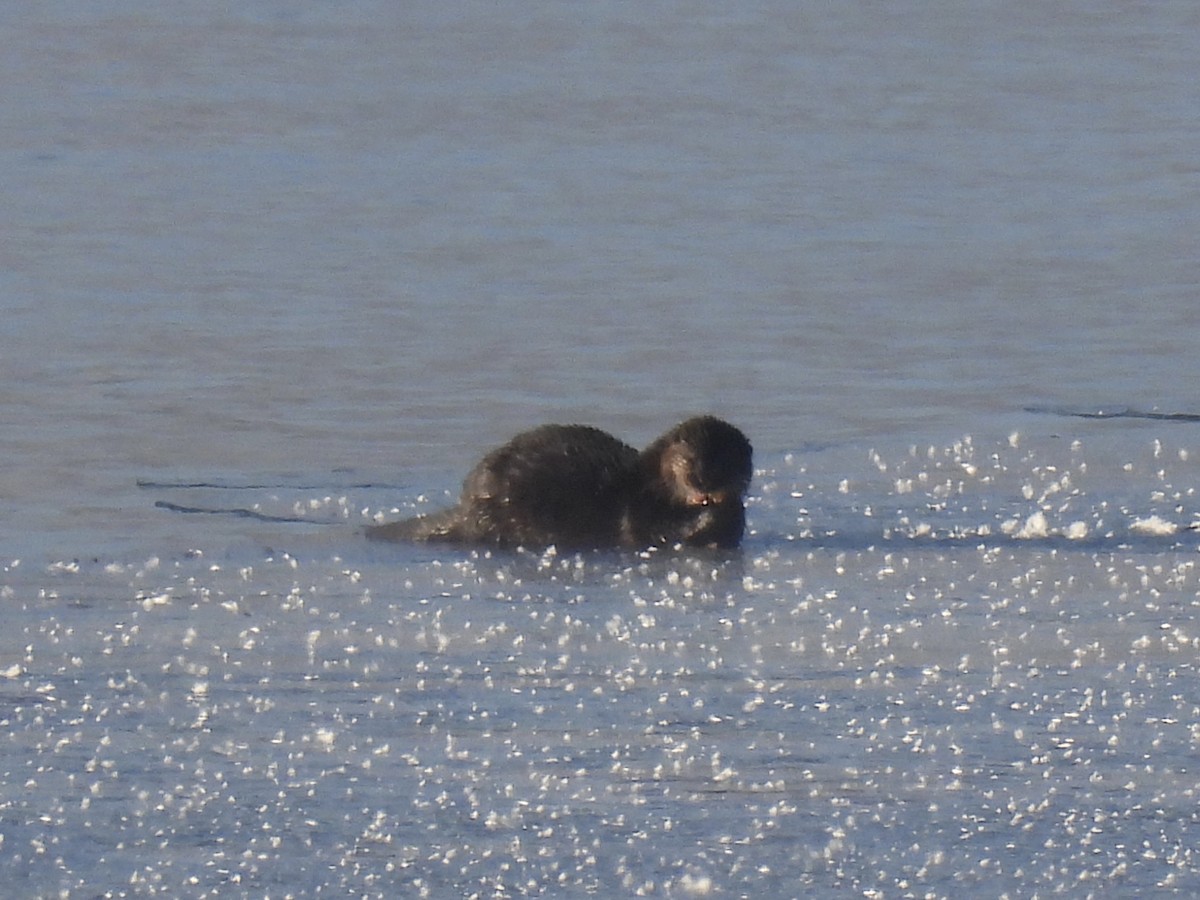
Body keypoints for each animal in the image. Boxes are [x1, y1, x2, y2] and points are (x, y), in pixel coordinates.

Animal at [365, 416, 752, 550]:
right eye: (689, 460)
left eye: (728, 462)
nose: (703, 483)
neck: (649, 482)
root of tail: (465, 508)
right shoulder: (639, 508)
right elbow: (652, 531)